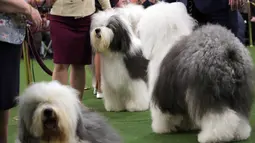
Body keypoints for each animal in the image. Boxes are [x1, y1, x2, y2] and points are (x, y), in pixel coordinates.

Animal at [138, 1, 254, 143]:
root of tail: (227, 50)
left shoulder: (163, 93)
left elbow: (162, 114)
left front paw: (162, 128)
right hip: (239, 91)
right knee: (240, 115)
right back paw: (240, 133)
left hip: (208, 92)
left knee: (220, 119)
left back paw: (211, 137)